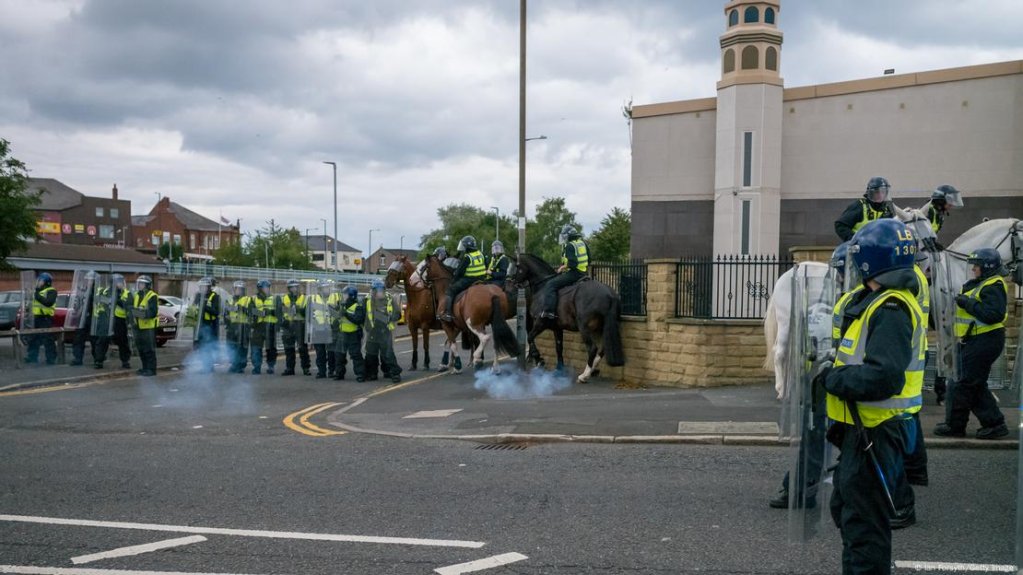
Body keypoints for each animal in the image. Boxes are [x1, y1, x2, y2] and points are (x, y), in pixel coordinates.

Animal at [511, 251, 621, 380]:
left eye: (517, 266)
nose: (512, 282)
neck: (543, 286)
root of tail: (609, 294)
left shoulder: (540, 322)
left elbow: (530, 338)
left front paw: (538, 359)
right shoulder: (557, 328)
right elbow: (559, 347)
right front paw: (559, 368)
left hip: (584, 327)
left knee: (593, 348)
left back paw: (584, 374)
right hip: (601, 327)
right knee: (602, 349)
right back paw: (592, 369)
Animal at [765, 216, 1023, 396]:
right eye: (1021, 241)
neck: (959, 268)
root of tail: (788, 272)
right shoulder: (947, 320)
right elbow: (947, 354)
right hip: (787, 322)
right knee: (780, 352)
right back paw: (781, 389)